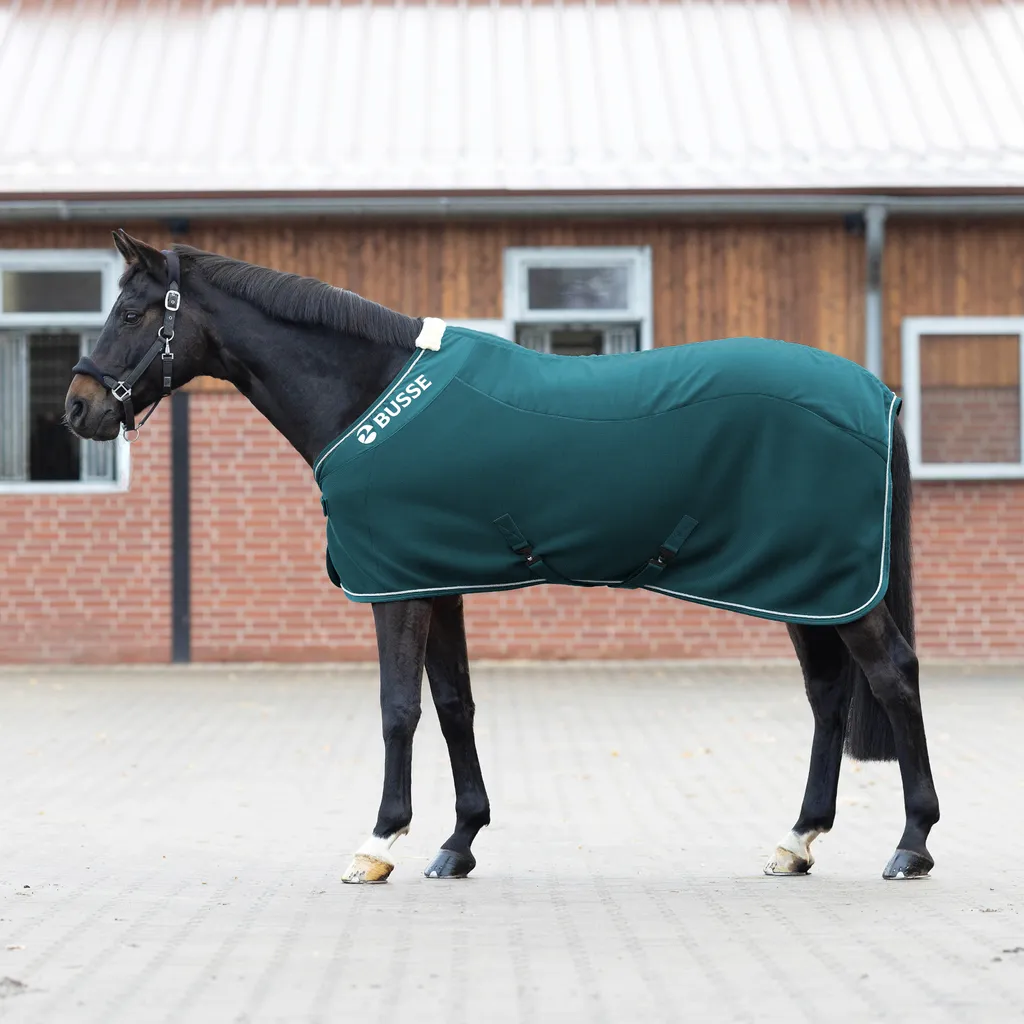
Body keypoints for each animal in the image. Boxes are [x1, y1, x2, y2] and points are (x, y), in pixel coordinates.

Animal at [65, 230, 940, 884]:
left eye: (133, 311)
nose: (78, 407)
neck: (370, 392)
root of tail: (874, 393)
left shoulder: (396, 589)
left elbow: (398, 708)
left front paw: (378, 843)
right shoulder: (434, 579)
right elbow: (454, 705)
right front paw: (458, 843)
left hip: (829, 586)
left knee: (893, 678)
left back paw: (912, 843)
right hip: (803, 587)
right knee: (828, 697)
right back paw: (797, 840)